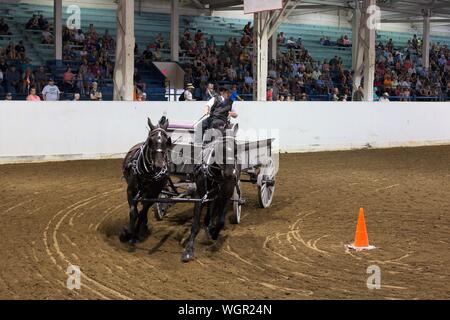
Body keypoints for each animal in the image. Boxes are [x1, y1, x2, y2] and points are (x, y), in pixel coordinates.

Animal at [119, 116, 172, 244]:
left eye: (166, 141)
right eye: (150, 141)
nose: (158, 165)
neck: (148, 174)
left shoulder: (154, 194)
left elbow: (143, 213)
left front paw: (137, 233)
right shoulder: (130, 191)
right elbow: (133, 212)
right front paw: (128, 233)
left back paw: (143, 227)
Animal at [181, 127, 241, 262]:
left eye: (235, 148)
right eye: (221, 148)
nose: (229, 174)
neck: (216, 175)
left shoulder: (226, 196)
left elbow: (221, 221)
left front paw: (214, 233)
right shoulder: (199, 196)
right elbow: (195, 225)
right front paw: (188, 250)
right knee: (210, 210)